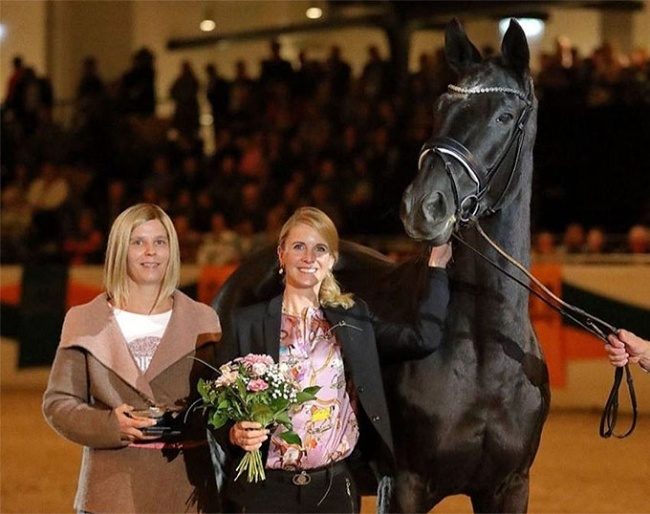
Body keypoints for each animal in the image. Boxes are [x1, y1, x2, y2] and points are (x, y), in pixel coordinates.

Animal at [213, 18, 548, 510]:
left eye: (504, 117)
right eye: (439, 107)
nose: (424, 206)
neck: (484, 354)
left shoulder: (511, 487)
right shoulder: (403, 484)